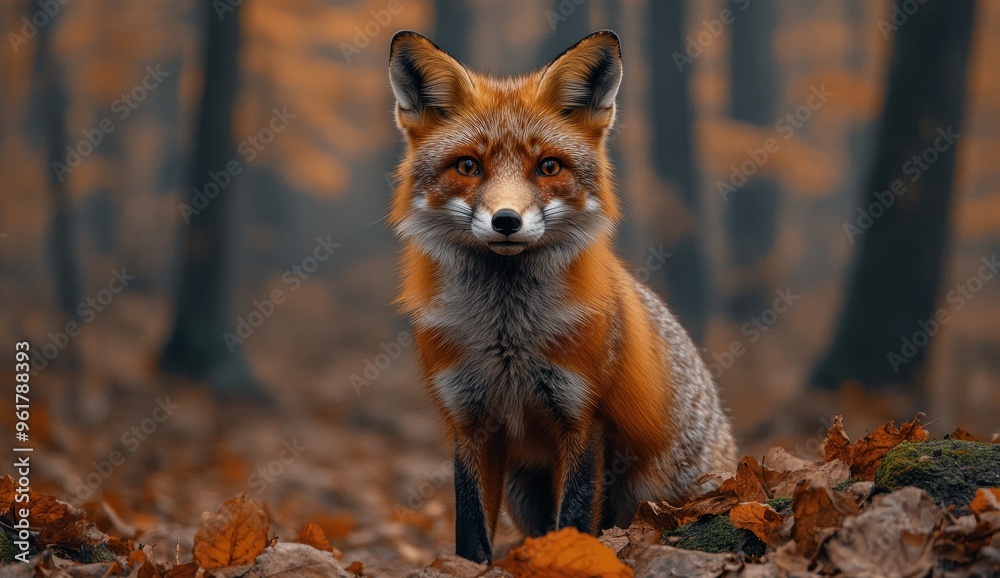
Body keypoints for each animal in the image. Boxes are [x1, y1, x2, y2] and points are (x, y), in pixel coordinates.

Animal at [387, 29, 737, 563]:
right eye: (469, 165)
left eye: (548, 166)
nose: (506, 220)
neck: (507, 336)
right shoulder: (469, 420)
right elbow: (470, 529)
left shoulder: (584, 416)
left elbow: (572, 516)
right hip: (522, 491)